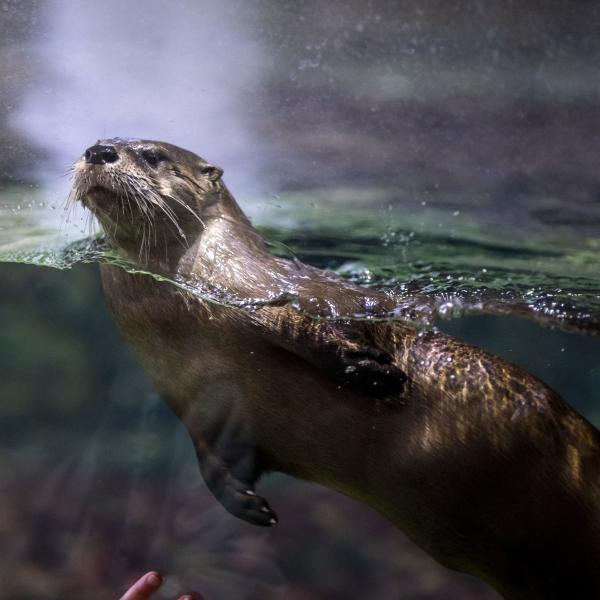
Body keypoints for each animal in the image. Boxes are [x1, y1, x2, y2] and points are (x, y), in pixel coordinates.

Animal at [71, 138, 600, 596]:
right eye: (97, 142)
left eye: (152, 155)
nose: (99, 150)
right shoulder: (199, 407)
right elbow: (214, 460)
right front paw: (246, 504)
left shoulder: (270, 297)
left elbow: (306, 327)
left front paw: (373, 374)